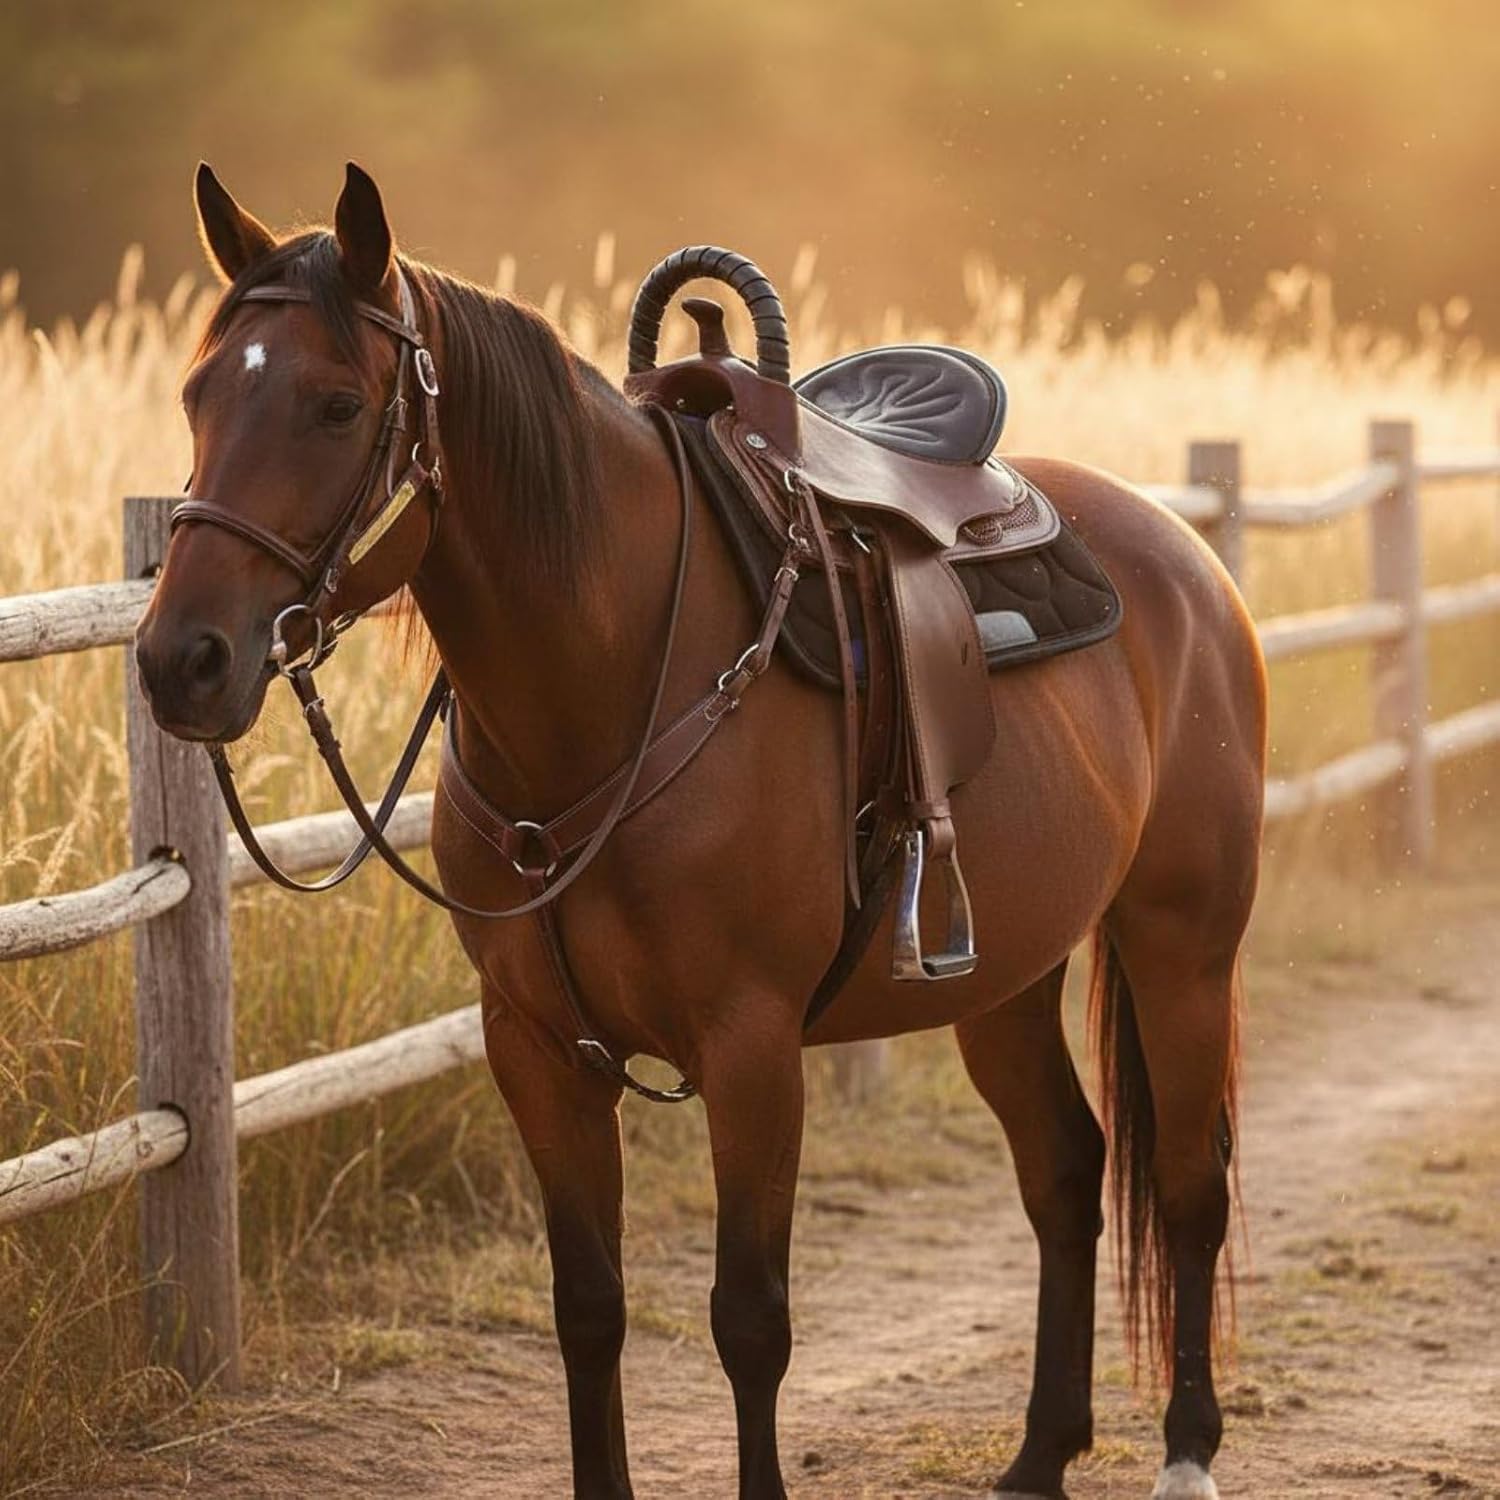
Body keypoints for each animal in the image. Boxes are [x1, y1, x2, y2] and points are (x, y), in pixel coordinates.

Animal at [135, 161, 1266, 1500]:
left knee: (1189, 1184)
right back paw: (1039, 1456)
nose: (180, 660)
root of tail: (1187, 557)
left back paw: (1186, 1450)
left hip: (1181, 945)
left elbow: (750, 1320)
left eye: (337, 403)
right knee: (1065, 1175)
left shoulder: (752, 1045)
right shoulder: (536, 1048)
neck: (614, 684)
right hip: (1006, 982)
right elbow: (588, 1310)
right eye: (199, 391)